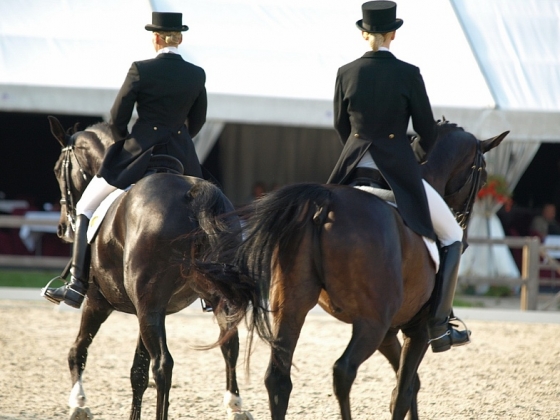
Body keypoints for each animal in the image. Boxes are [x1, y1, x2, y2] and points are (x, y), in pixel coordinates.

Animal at [46, 115, 270, 420]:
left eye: (59, 169)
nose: (61, 228)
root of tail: (193, 194)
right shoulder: (149, 308)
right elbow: (137, 372)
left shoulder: (98, 301)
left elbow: (78, 350)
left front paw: (79, 403)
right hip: (211, 299)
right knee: (228, 344)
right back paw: (235, 406)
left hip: (146, 304)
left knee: (163, 364)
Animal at [195, 123, 510, 418]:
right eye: (483, 177)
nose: (465, 236)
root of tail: (325, 202)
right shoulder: (416, 329)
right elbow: (404, 390)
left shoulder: (389, 332)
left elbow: (410, 384)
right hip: (370, 325)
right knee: (343, 371)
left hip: (292, 307)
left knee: (278, 378)